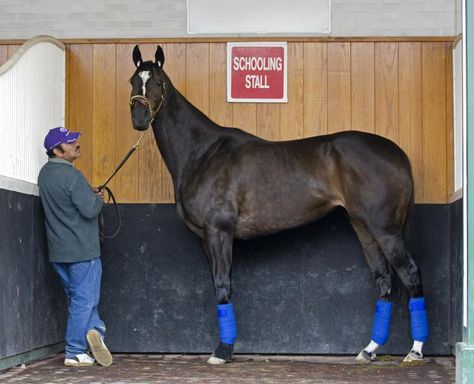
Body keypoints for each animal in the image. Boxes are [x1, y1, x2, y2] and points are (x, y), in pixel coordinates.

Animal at [128, 44, 428, 364]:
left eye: (158, 82)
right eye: (133, 81)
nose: (139, 118)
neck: (202, 153)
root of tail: (397, 153)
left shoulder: (219, 232)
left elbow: (222, 285)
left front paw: (223, 351)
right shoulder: (207, 238)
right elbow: (219, 285)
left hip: (386, 231)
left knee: (410, 274)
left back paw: (415, 350)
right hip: (364, 229)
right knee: (383, 279)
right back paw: (369, 350)